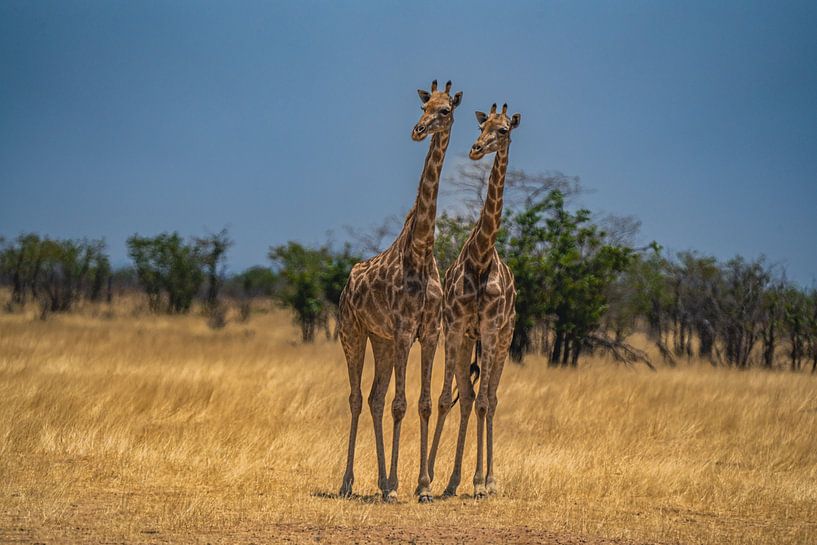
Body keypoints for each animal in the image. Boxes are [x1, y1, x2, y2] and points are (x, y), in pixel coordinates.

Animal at [337, 80, 463, 503]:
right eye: (424, 106)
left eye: (445, 110)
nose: (418, 130)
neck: (421, 250)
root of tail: (347, 284)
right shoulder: (406, 330)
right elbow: (401, 404)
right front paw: (399, 487)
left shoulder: (429, 332)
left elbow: (421, 403)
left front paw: (422, 486)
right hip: (354, 333)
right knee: (357, 398)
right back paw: (348, 483)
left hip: (382, 341)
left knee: (374, 398)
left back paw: (381, 481)